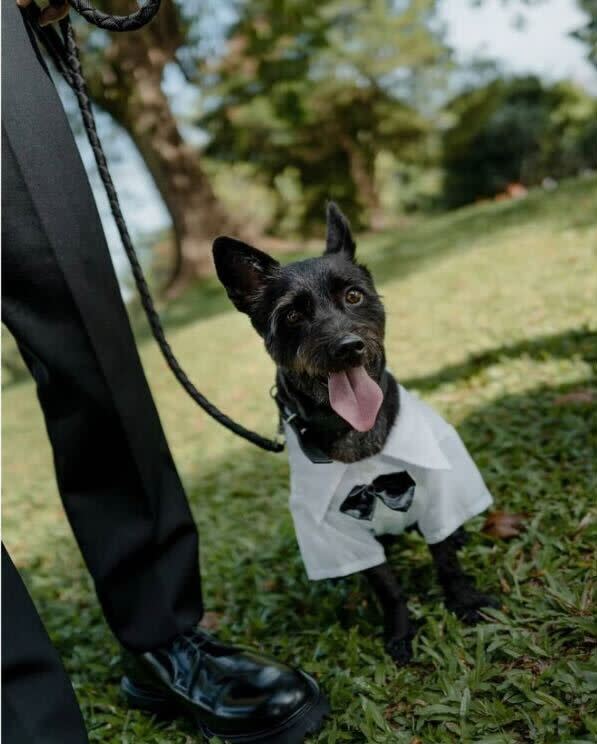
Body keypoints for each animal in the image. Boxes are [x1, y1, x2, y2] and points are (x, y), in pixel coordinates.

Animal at [212, 203, 496, 664]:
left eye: (353, 296)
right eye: (292, 315)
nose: (347, 347)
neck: (356, 433)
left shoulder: (437, 494)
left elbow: (445, 561)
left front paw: (465, 602)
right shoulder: (337, 533)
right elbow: (386, 585)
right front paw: (400, 631)